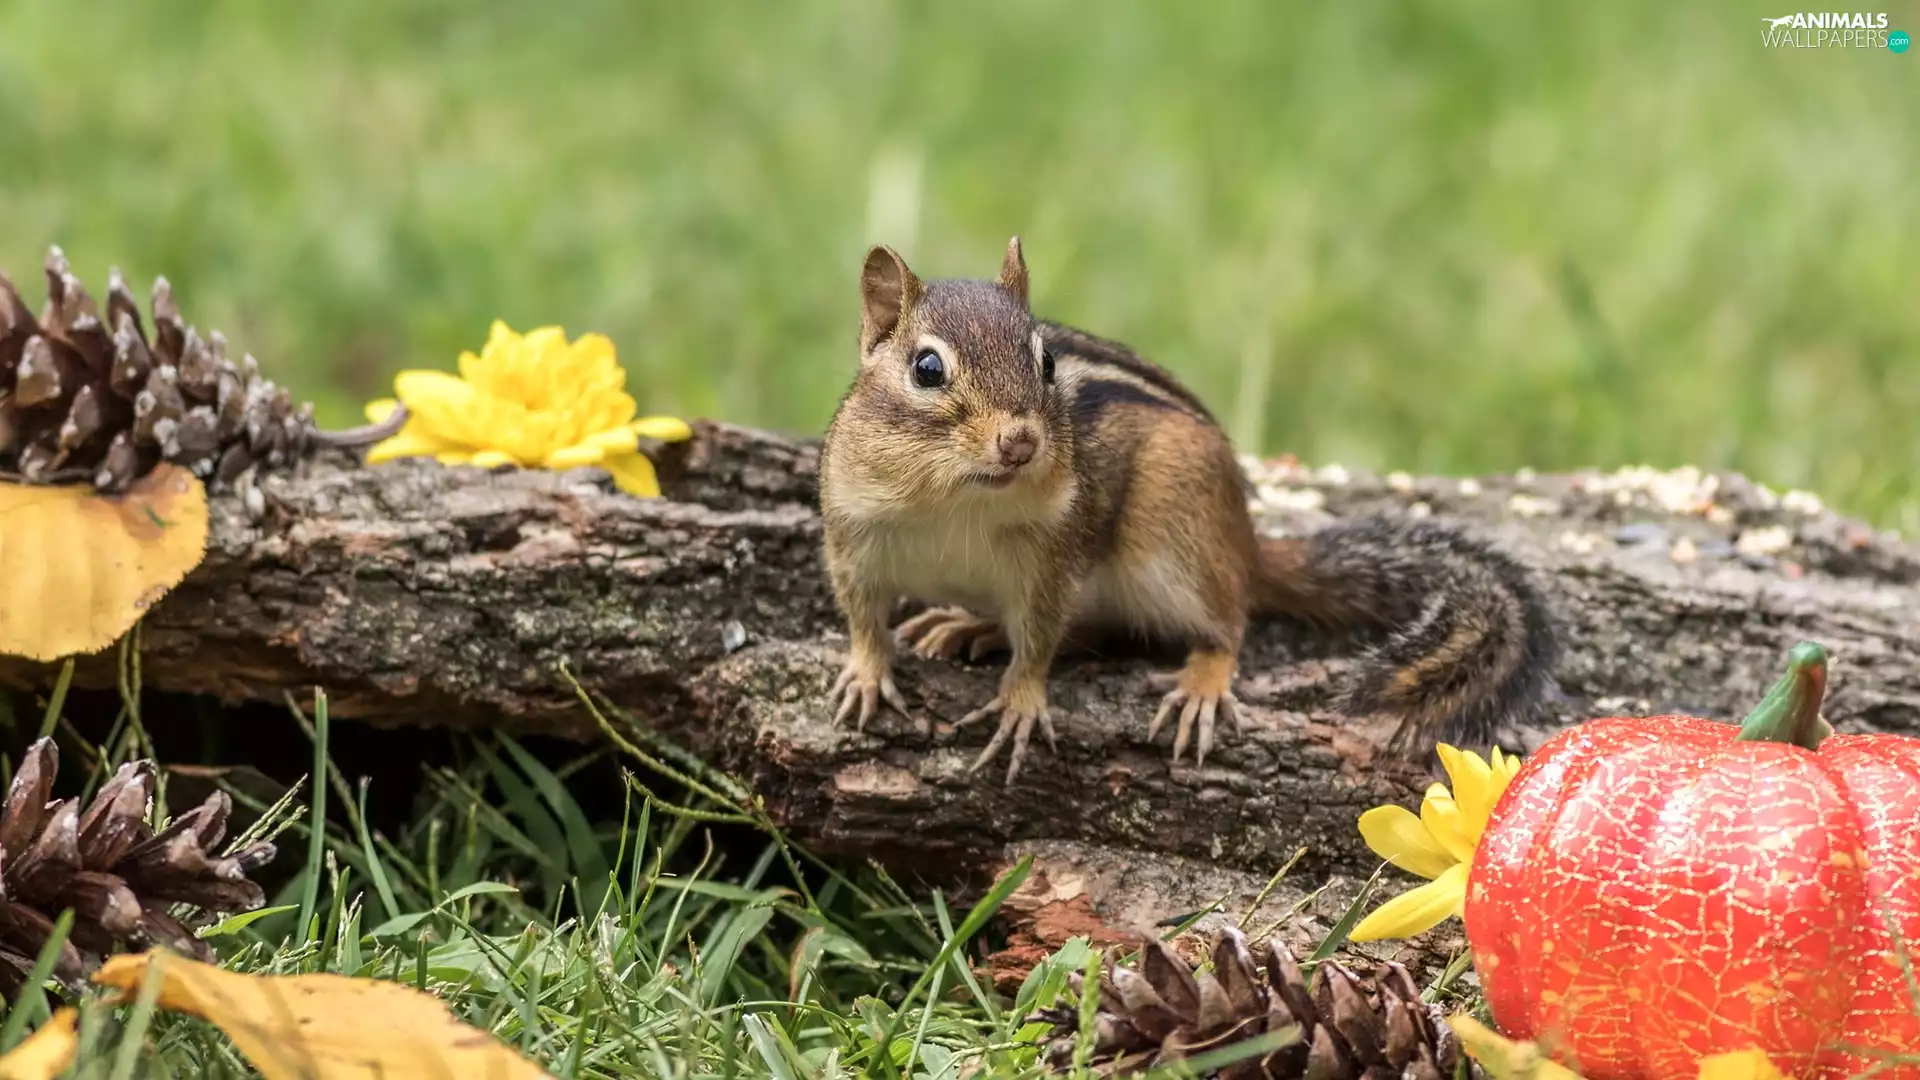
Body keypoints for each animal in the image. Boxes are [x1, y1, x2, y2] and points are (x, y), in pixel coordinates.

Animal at [817, 237, 1558, 783]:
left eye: (1047, 361)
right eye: (927, 369)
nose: (1021, 441)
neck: (954, 500)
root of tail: (1249, 544)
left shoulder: (1053, 563)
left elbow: (1042, 642)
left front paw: (1021, 703)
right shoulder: (852, 535)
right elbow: (861, 616)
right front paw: (865, 672)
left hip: (1177, 541)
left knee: (1224, 625)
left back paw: (1201, 682)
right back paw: (967, 624)